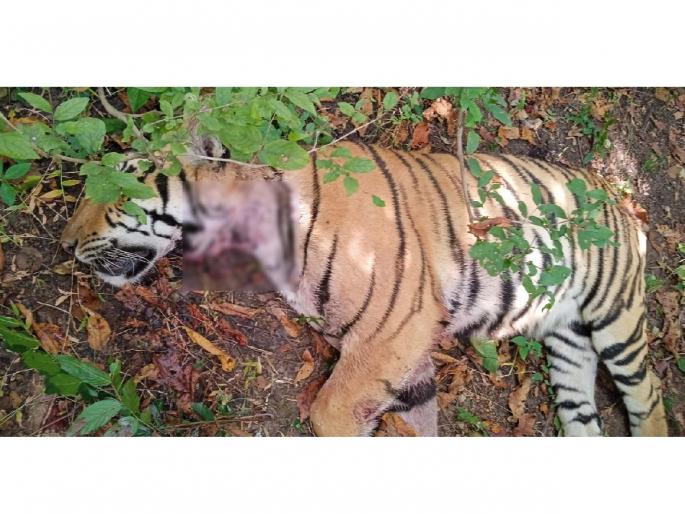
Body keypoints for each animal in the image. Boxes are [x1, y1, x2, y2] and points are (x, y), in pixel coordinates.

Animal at [61, 136, 668, 437]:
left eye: (117, 182)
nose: (66, 243)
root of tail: (618, 192)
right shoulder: (401, 357)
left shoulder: (394, 330)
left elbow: (329, 416)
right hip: (568, 343)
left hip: (616, 315)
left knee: (650, 397)